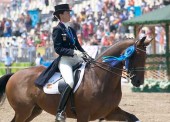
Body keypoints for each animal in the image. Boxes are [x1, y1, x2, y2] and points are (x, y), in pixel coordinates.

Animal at [0, 36, 151, 122]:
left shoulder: (110, 112)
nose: (139, 82)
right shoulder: (83, 115)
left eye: (145, 57)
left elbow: (133, 118)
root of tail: (14, 74)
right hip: (23, 110)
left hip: (33, 111)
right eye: (136, 55)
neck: (100, 78)